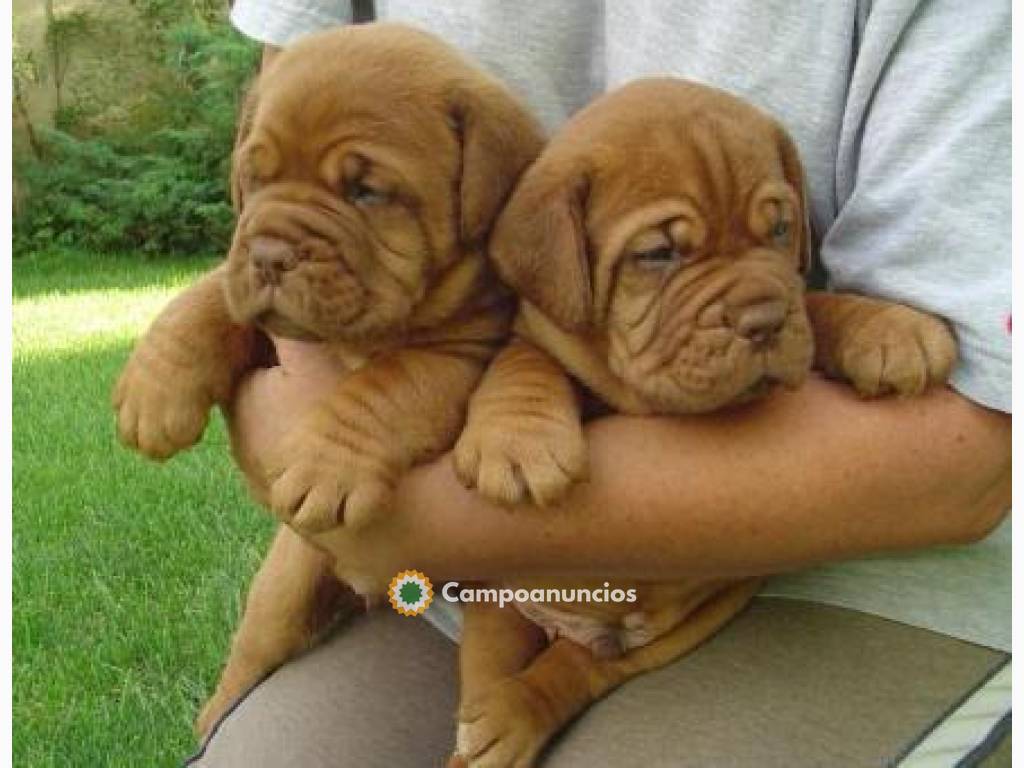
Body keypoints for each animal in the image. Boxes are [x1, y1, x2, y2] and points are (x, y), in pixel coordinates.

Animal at [110, 24, 544, 741]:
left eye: (366, 191)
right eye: (255, 178)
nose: (268, 255)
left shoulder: (459, 354)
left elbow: (386, 387)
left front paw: (325, 467)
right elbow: (211, 297)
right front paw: (154, 388)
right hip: (281, 590)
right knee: (248, 659)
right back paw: (213, 718)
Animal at [452, 79, 954, 768]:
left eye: (779, 228)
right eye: (658, 254)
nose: (762, 322)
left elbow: (813, 305)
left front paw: (887, 327)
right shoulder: (537, 333)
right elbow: (526, 362)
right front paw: (518, 443)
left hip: (697, 616)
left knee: (583, 669)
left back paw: (525, 706)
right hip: (497, 604)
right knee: (490, 671)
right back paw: (492, 724)